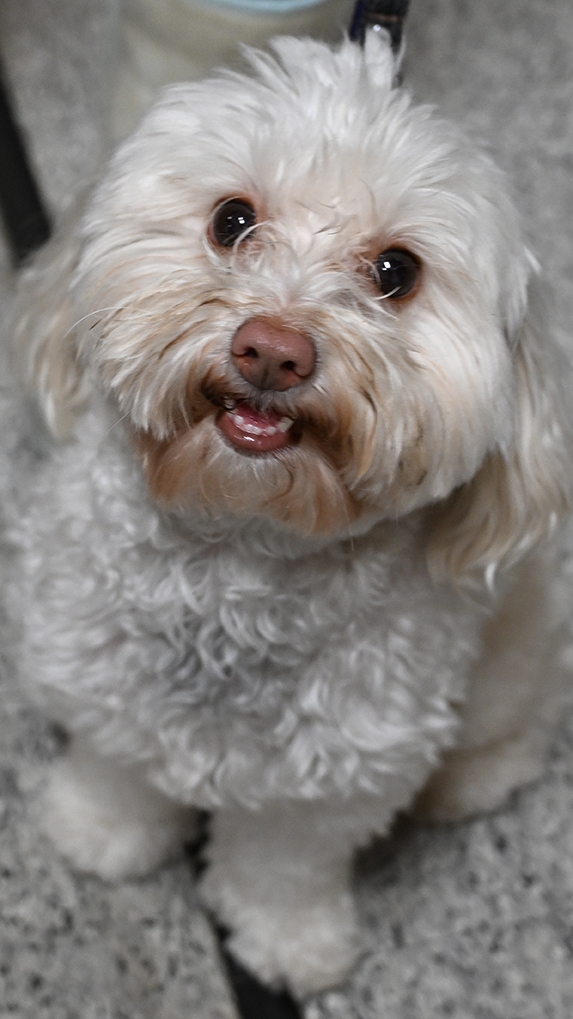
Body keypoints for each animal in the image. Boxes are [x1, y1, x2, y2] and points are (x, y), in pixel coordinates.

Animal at [5, 29, 570, 994]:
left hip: (511, 657)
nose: (271, 351)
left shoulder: (335, 779)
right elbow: (118, 770)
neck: (236, 554)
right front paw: (102, 834)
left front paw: (287, 944)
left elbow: (282, 866)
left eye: (395, 271)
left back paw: (469, 780)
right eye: (232, 219)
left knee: (510, 730)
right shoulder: (104, 680)